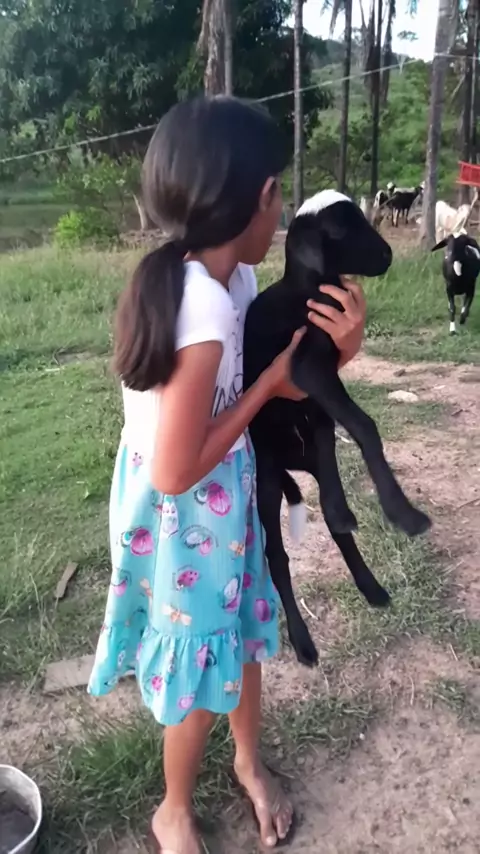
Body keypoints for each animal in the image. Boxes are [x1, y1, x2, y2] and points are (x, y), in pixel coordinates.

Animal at [243, 190, 431, 667]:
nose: (387, 256)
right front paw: (403, 512)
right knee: (276, 556)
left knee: (333, 514)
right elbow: (365, 425)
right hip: (268, 478)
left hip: (306, 449)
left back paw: (369, 582)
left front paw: (378, 509)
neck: (309, 291)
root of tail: (291, 463)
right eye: (343, 230)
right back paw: (302, 640)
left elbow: (344, 432)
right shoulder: (305, 366)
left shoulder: (321, 382)